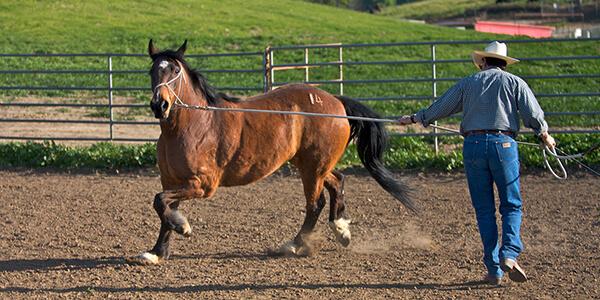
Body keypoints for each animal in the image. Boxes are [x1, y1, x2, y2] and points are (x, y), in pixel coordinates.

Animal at [135, 40, 418, 264]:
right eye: (152, 70)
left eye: (175, 70)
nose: (159, 105)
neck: (194, 125)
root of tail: (336, 102)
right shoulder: (172, 180)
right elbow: (163, 208)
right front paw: (157, 252)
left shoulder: (202, 184)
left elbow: (160, 202)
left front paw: (183, 227)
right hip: (311, 165)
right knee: (337, 182)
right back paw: (341, 231)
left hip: (312, 167)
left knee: (315, 203)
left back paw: (296, 244)